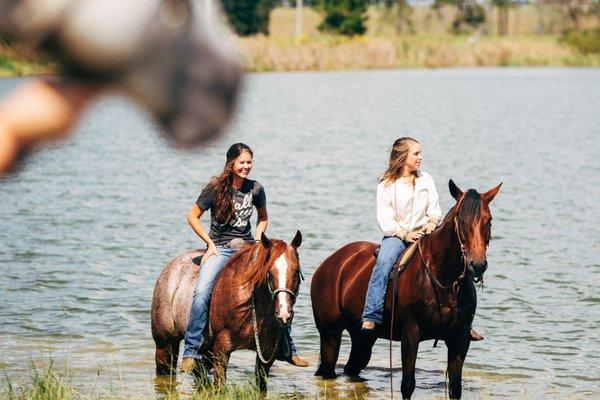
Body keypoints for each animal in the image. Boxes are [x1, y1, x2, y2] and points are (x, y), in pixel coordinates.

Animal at [152, 231, 302, 390]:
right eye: (269, 272)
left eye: (296, 271)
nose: (284, 314)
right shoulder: (222, 346)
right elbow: (220, 386)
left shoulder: (267, 352)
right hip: (163, 344)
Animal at [312, 180, 500, 398]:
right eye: (460, 219)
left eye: (489, 220)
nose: (477, 265)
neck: (444, 279)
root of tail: (330, 264)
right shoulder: (411, 334)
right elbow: (408, 384)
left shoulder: (460, 339)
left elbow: (455, 387)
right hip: (330, 335)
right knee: (329, 371)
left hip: (362, 338)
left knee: (351, 368)